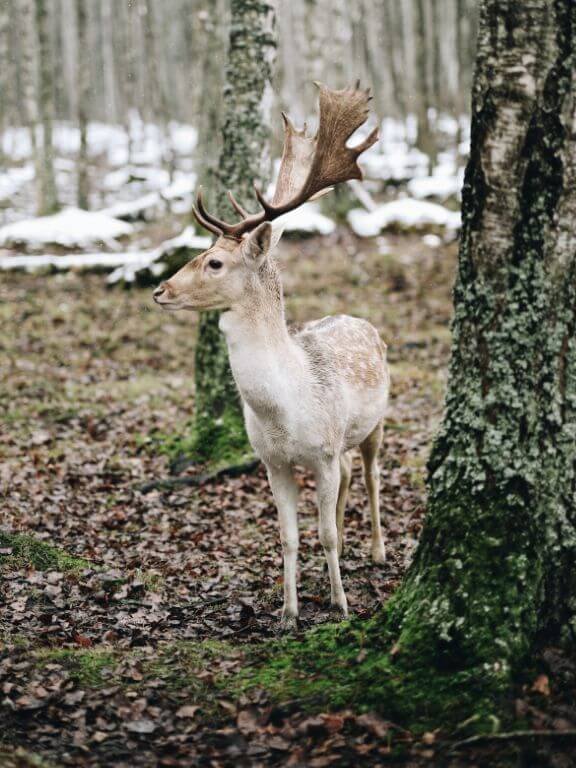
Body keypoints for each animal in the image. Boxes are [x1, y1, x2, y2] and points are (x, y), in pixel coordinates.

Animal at [153, 82, 390, 632]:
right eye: (200, 253)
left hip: (377, 421)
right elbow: (289, 536)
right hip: (343, 441)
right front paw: (288, 613)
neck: (283, 409)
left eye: (215, 263)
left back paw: (375, 550)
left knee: (370, 473)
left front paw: (340, 607)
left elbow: (323, 533)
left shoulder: (320, 452)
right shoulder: (273, 461)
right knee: (351, 474)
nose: (159, 289)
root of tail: (361, 319)